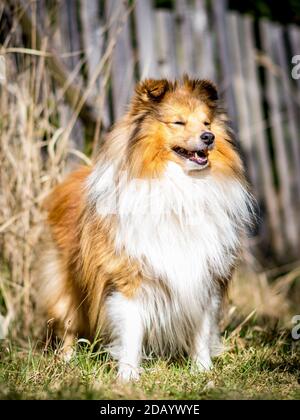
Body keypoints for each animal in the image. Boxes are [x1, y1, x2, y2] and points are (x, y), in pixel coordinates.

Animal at [39, 75, 251, 380]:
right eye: (178, 122)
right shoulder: (129, 279)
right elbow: (132, 333)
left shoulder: (204, 276)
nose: (208, 138)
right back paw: (68, 361)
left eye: (207, 123)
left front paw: (202, 371)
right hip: (66, 283)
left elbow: (201, 330)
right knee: (67, 323)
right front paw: (127, 376)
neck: (181, 188)